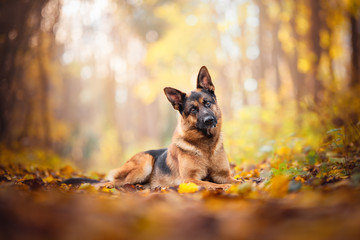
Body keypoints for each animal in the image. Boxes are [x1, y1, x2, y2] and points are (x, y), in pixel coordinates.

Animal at [105, 66, 239, 189]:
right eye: (193, 109)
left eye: (207, 103)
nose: (209, 120)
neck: (207, 145)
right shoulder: (189, 179)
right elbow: (210, 184)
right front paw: (225, 186)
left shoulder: (223, 175)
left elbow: (237, 181)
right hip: (145, 163)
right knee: (117, 181)